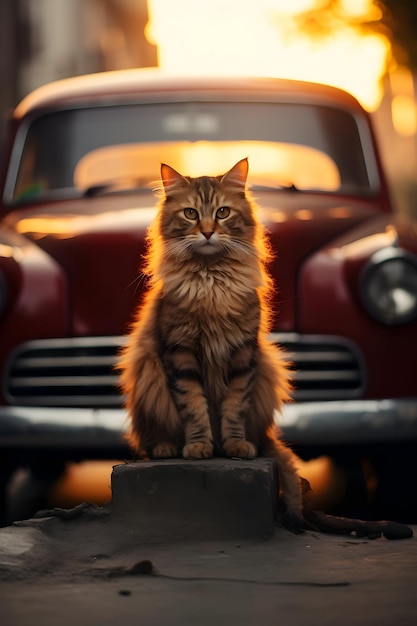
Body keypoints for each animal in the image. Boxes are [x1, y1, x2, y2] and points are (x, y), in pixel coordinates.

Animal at [118, 157, 412, 536]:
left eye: (223, 212)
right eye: (191, 214)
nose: (208, 231)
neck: (211, 281)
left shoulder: (244, 353)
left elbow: (233, 408)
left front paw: (233, 445)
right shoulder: (179, 353)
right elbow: (194, 406)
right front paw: (198, 445)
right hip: (149, 372)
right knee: (152, 435)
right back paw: (167, 447)